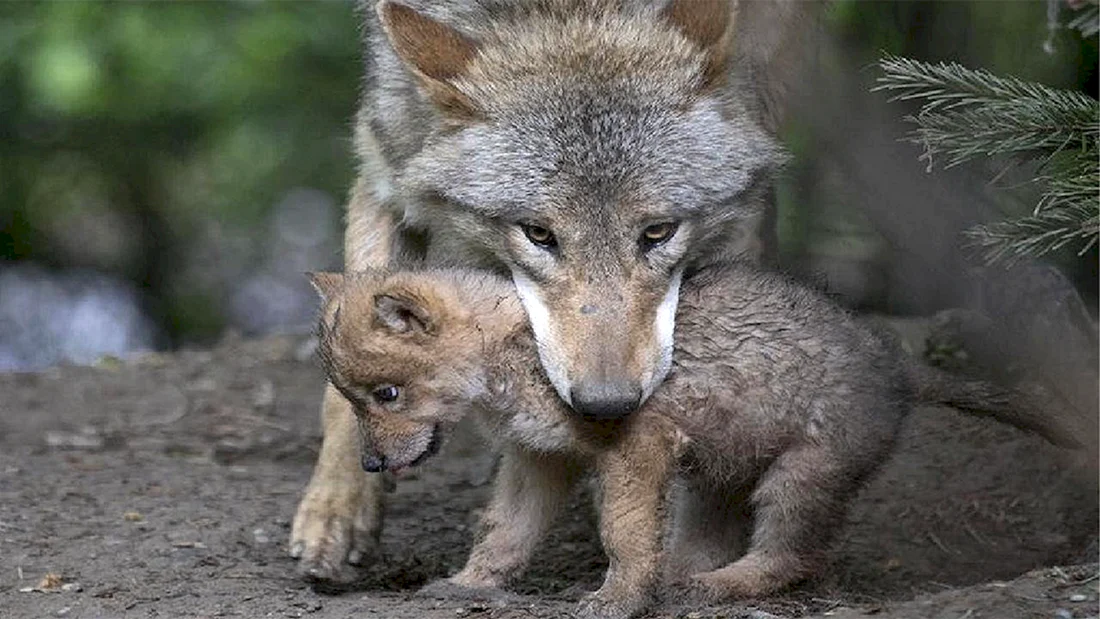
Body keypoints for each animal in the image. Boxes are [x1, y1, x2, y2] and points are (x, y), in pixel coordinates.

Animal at [290, 0, 820, 580]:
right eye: (538, 234)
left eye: (658, 232)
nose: (607, 404)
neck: (571, 12)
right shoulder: (389, 166)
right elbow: (344, 369)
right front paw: (336, 512)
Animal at [307, 266, 1079, 619]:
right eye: (352, 397)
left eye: (387, 394)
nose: (371, 462)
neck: (510, 354)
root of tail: (897, 363)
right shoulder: (537, 460)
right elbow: (503, 531)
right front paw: (468, 585)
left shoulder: (632, 446)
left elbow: (621, 534)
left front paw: (615, 600)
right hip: (716, 476)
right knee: (705, 543)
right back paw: (681, 579)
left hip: (799, 477)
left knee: (789, 557)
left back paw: (716, 586)